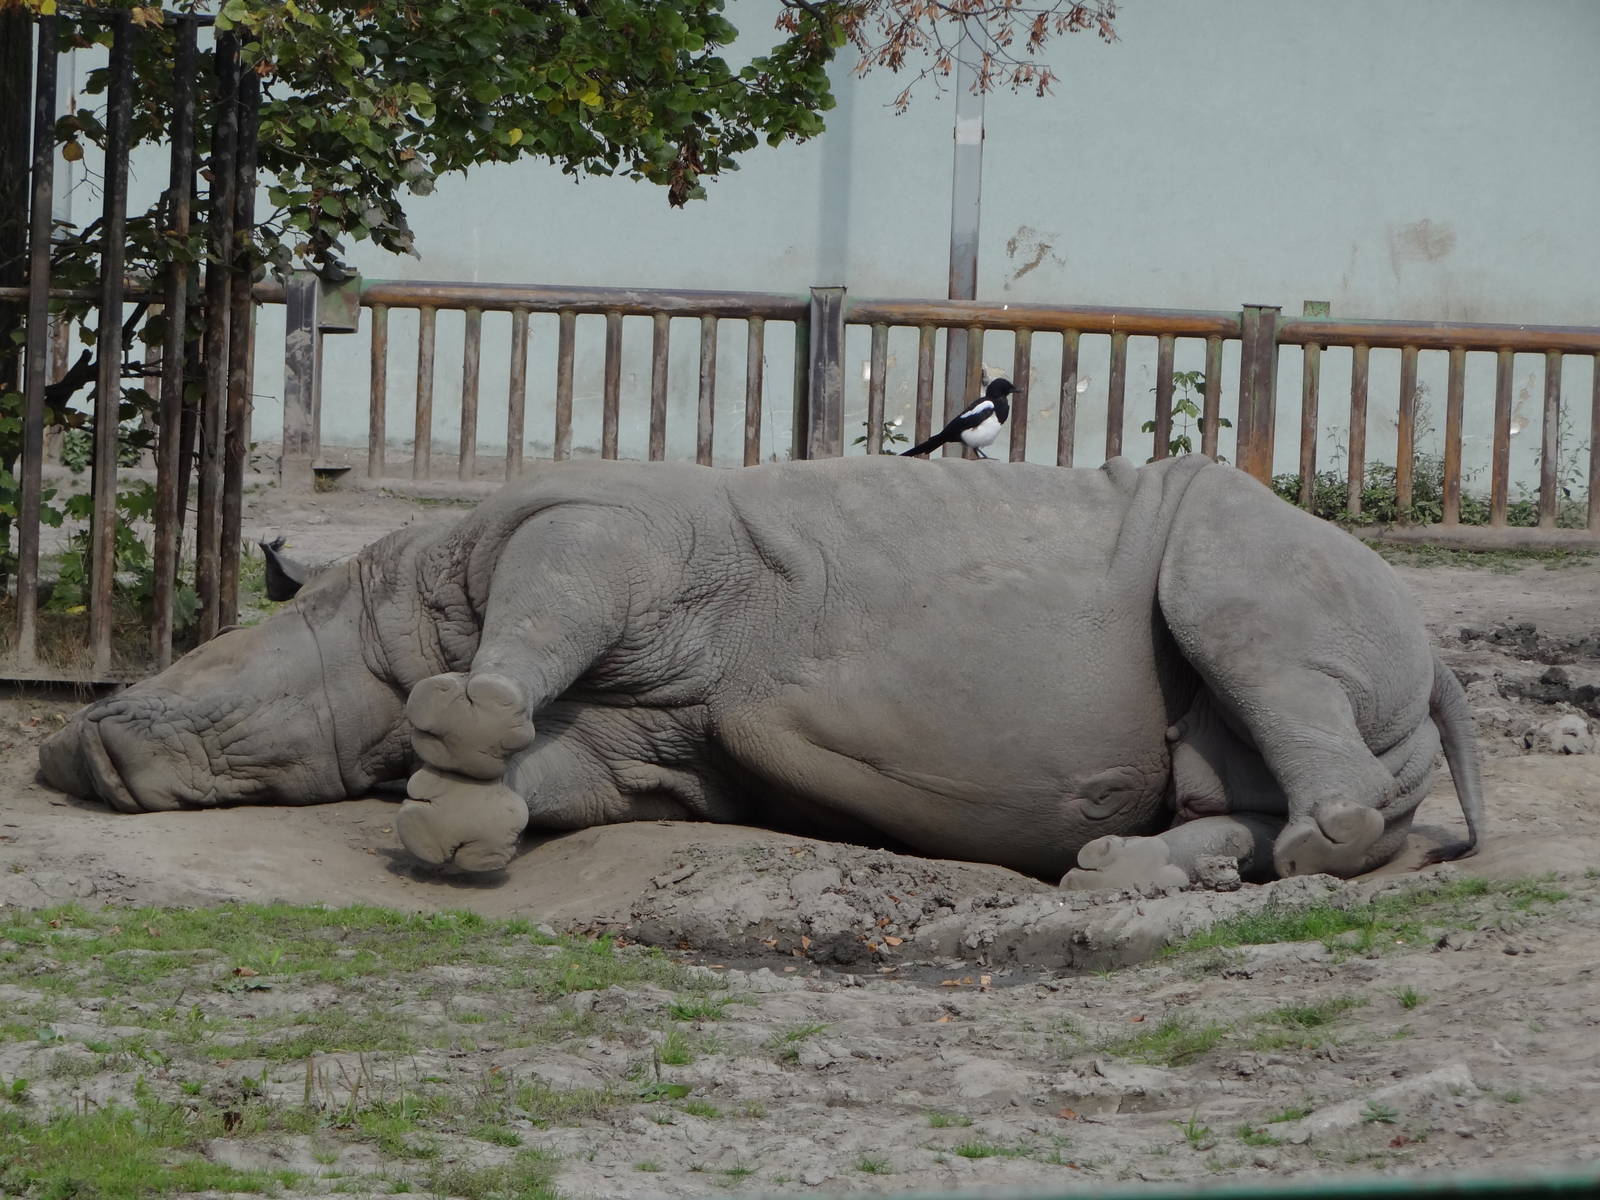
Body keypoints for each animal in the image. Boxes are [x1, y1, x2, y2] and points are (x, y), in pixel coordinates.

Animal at [36, 455, 1483, 889]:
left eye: (209, 695)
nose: (76, 749)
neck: (396, 604)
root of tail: (1442, 657)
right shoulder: (660, 752)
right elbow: (566, 770)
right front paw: (462, 818)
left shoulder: (591, 524)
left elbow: (538, 627)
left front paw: (460, 745)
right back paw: (1123, 874)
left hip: (1285, 561)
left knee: (1241, 608)